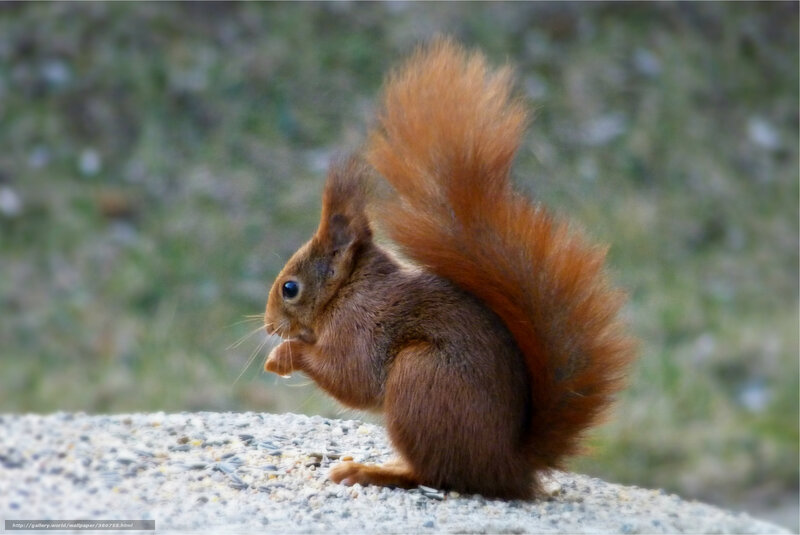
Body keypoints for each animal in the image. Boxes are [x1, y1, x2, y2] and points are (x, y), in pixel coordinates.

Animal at [263, 38, 636, 500]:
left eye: (289, 288)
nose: (268, 326)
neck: (348, 291)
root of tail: (509, 467)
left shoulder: (362, 328)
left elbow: (352, 377)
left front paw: (285, 354)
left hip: (421, 379)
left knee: (435, 473)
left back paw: (373, 472)